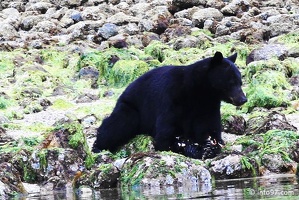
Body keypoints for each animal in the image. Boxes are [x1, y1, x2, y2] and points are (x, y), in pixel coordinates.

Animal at [94, 50, 248, 157]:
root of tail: (126, 89)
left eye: (240, 82)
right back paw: (98, 146)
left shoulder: (208, 106)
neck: (199, 91)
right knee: (118, 124)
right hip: (131, 107)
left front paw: (209, 146)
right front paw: (190, 148)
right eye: (231, 82)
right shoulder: (172, 98)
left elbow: (211, 128)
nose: (243, 99)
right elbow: (165, 134)